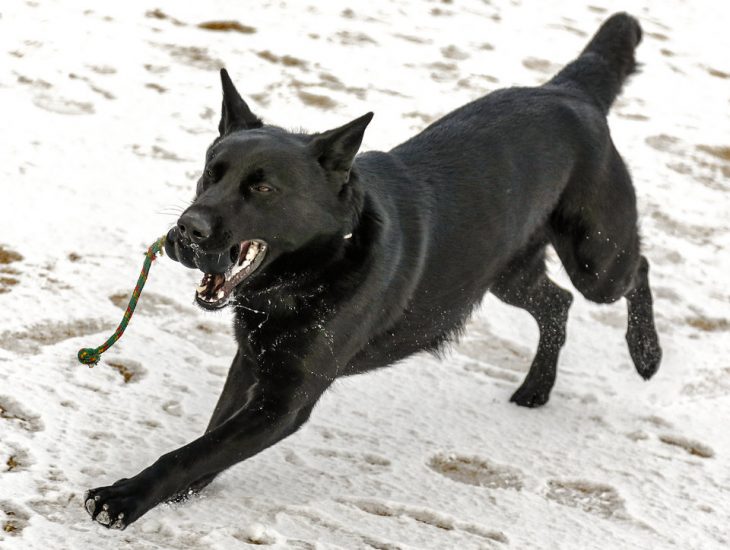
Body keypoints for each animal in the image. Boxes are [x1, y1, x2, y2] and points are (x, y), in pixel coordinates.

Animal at [85, 12, 660, 532]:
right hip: (504, 273)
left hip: (596, 259)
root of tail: (569, 91)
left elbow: (196, 449)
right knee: (557, 302)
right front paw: (185, 491)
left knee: (635, 270)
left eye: (263, 188)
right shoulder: (252, 362)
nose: (188, 230)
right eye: (211, 173)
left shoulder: (285, 401)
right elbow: (210, 437)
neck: (309, 276)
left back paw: (646, 354)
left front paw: (126, 499)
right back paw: (536, 389)